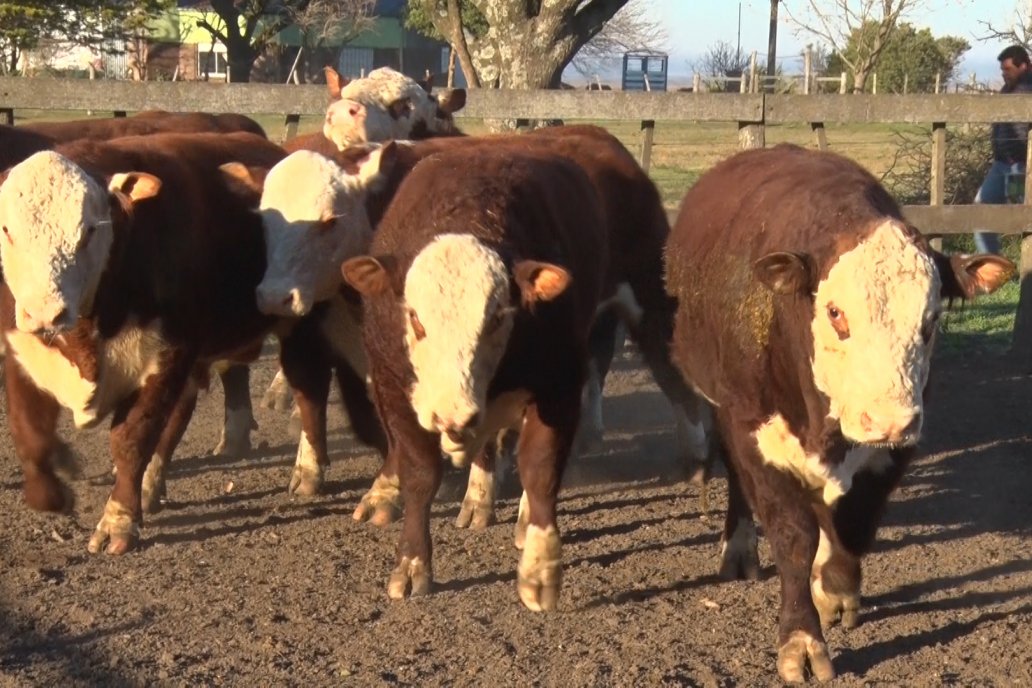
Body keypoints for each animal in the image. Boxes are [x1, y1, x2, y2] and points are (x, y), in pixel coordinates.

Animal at [0, 130, 291, 552]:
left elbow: (132, 439)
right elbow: (29, 434)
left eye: (89, 231)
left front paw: (118, 520)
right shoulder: (22, 353)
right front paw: (54, 492)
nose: (44, 313)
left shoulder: (167, 357)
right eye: (7, 230)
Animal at [342, 144, 606, 606]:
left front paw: (540, 567)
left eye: (498, 317)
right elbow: (420, 474)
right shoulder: (392, 385)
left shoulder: (559, 386)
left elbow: (539, 469)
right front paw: (412, 563)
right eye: (415, 318)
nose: (452, 415)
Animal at [664, 142, 1011, 680]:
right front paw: (801, 640)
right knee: (739, 481)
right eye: (835, 312)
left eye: (931, 318)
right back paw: (739, 548)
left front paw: (835, 589)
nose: (887, 419)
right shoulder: (752, 431)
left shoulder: (896, 444)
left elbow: (854, 521)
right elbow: (792, 536)